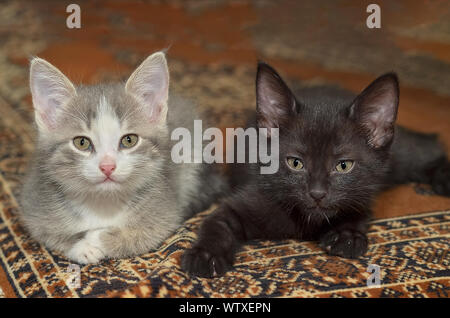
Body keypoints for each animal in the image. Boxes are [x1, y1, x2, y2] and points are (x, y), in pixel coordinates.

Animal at [20, 52, 224, 264]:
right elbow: (49, 233)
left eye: (129, 140)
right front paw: (82, 245)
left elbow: (143, 234)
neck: (104, 204)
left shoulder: (164, 211)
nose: (107, 166)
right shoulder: (35, 203)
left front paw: (95, 237)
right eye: (81, 143)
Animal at [182, 63, 450, 278]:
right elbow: (217, 222)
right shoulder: (248, 198)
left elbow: (359, 209)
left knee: (427, 146)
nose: (317, 193)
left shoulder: (362, 194)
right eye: (295, 163)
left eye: (343, 165)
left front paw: (347, 235)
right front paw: (206, 256)